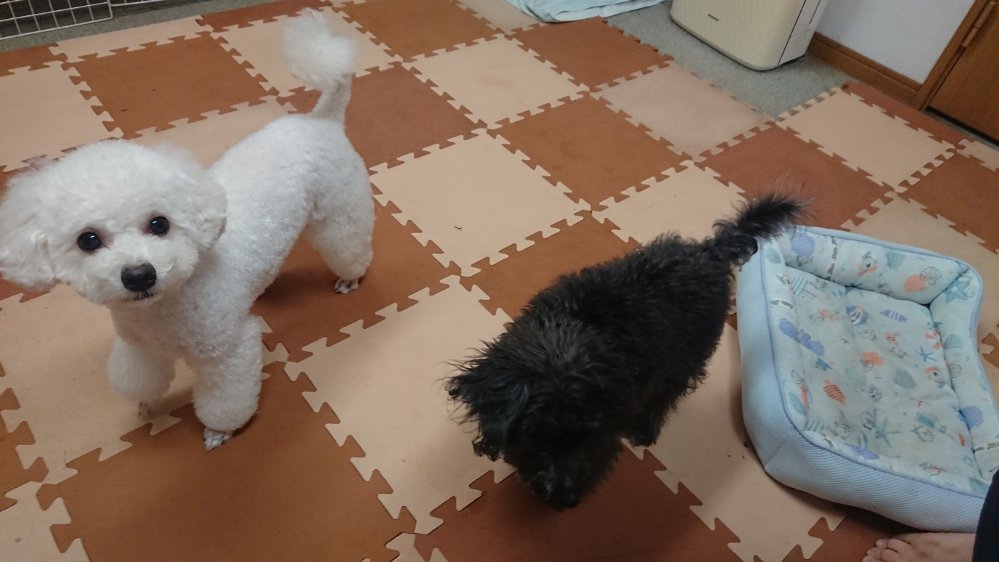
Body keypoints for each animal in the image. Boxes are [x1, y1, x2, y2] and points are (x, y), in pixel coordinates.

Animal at [0, 11, 374, 450]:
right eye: (88, 240)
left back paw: (350, 278)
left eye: (159, 223)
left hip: (339, 215)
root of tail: (322, 119)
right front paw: (146, 404)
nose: (139, 274)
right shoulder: (140, 347)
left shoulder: (228, 351)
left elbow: (226, 398)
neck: (164, 308)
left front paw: (219, 431)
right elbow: (139, 377)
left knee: (351, 247)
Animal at [447, 194, 806, 509]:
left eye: (589, 436)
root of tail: (711, 251)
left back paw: (644, 428)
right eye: (537, 436)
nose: (565, 499)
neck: (574, 329)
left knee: (668, 393)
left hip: (688, 355)